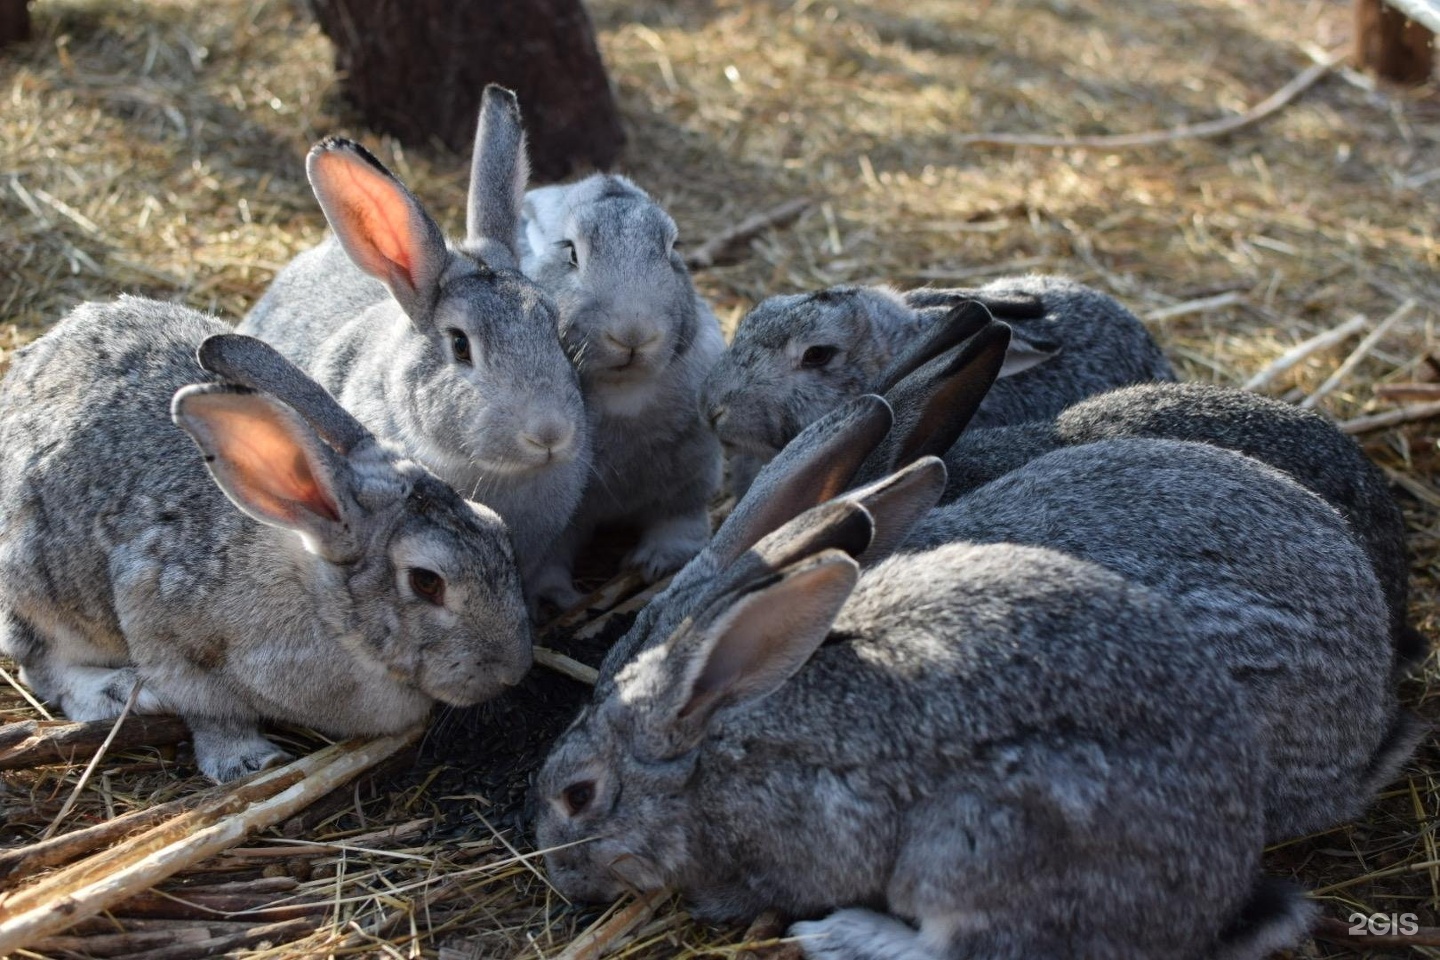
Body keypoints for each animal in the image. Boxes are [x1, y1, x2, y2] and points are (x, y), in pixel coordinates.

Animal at [0, 296, 532, 782]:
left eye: (498, 529)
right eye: (426, 582)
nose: (515, 670)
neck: (324, 610)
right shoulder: (162, 628)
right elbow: (212, 711)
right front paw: (246, 762)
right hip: (38, 594)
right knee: (40, 665)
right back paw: (120, 691)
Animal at [512, 174, 725, 601]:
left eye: (672, 250)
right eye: (571, 253)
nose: (633, 334)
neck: (623, 391)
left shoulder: (687, 488)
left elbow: (677, 524)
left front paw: (655, 562)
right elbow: (549, 560)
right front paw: (559, 598)